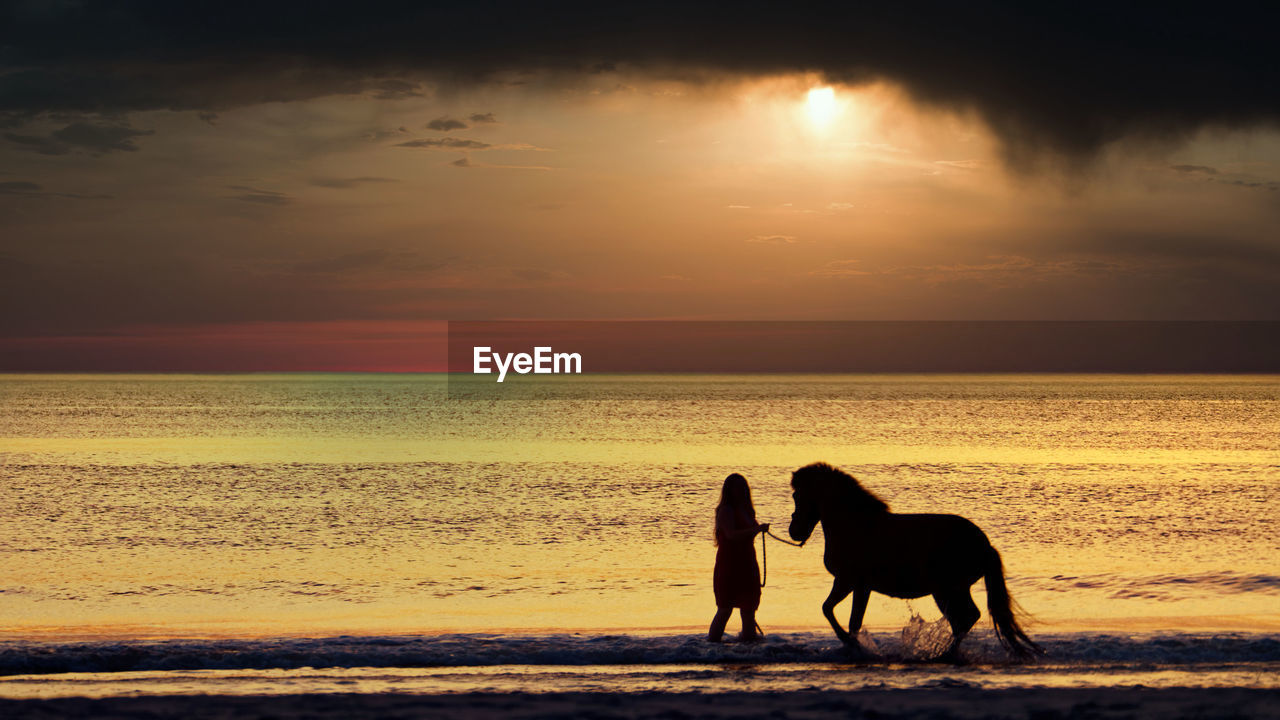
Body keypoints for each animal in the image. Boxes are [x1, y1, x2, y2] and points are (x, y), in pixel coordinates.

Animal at [788, 461, 1039, 661]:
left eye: (797, 496)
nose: (794, 532)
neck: (856, 525)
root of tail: (985, 545)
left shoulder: (850, 582)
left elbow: (838, 615)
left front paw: (853, 646)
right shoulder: (855, 585)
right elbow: (842, 616)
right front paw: (853, 646)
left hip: (948, 589)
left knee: (966, 618)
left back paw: (944, 654)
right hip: (950, 591)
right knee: (964, 619)